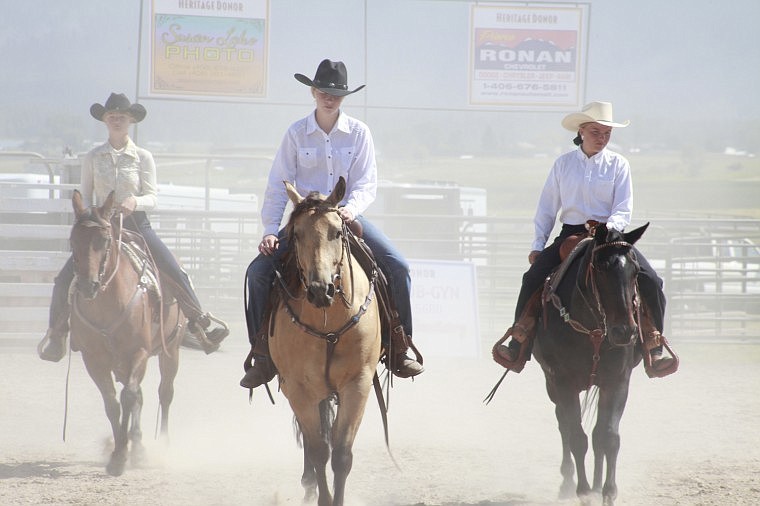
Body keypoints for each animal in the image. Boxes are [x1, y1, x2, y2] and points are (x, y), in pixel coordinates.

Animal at [68, 189, 187, 474]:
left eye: (103, 239)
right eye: (72, 240)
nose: (88, 285)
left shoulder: (139, 351)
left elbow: (128, 396)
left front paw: (121, 455)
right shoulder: (94, 359)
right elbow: (112, 402)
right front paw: (120, 451)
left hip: (171, 349)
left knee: (165, 393)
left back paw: (161, 444)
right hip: (121, 363)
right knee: (139, 395)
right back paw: (138, 446)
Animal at [268, 178, 386, 506]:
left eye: (336, 231)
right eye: (296, 234)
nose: (321, 290)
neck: (328, 324)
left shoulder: (357, 384)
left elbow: (341, 454)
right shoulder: (298, 388)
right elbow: (319, 449)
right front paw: (321, 495)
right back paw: (308, 483)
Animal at [532, 223, 652, 506]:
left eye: (635, 271)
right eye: (600, 269)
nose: (624, 332)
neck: (594, 329)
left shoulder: (617, 381)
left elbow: (607, 436)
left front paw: (606, 491)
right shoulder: (562, 382)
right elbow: (577, 436)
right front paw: (584, 491)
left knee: (596, 435)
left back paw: (596, 485)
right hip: (552, 384)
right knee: (563, 424)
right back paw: (568, 482)